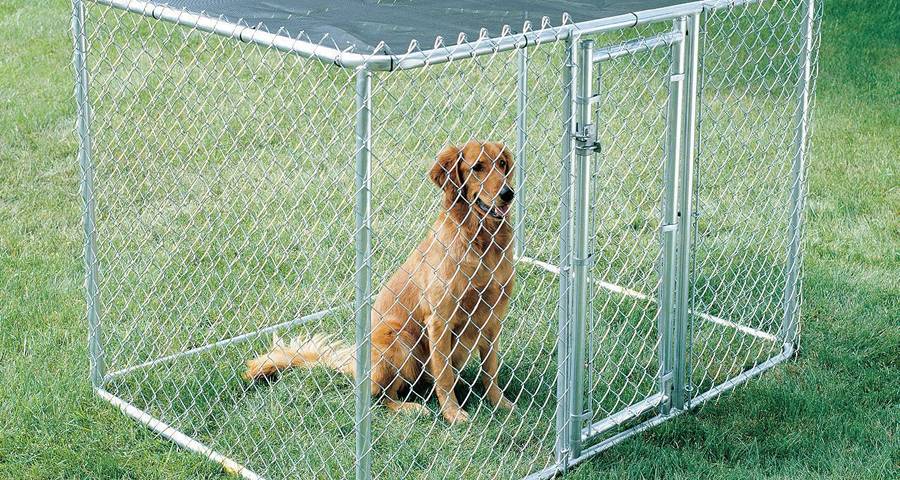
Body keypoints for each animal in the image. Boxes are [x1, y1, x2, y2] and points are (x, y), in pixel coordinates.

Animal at [243, 141, 516, 422]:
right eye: (477, 167)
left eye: (502, 164)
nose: (508, 194)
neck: (482, 241)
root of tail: (354, 362)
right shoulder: (440, 320)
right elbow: (444, 376)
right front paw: (453, 413)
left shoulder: (494, 316)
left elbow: (490, 370)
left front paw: (499, 402)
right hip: (399, 339)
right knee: (384, 396)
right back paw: (411, 408)